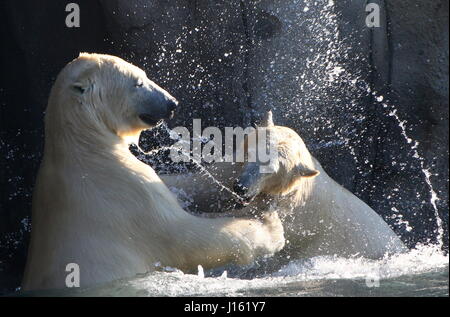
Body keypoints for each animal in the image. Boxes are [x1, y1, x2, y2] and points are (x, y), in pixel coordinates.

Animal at [21, 53, 284, 290]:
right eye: (138, 82)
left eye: (145, 74)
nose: (172, 103)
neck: (85, 146)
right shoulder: (125, 197)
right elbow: (186, 238)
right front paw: (271, 226)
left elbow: (179, 184)